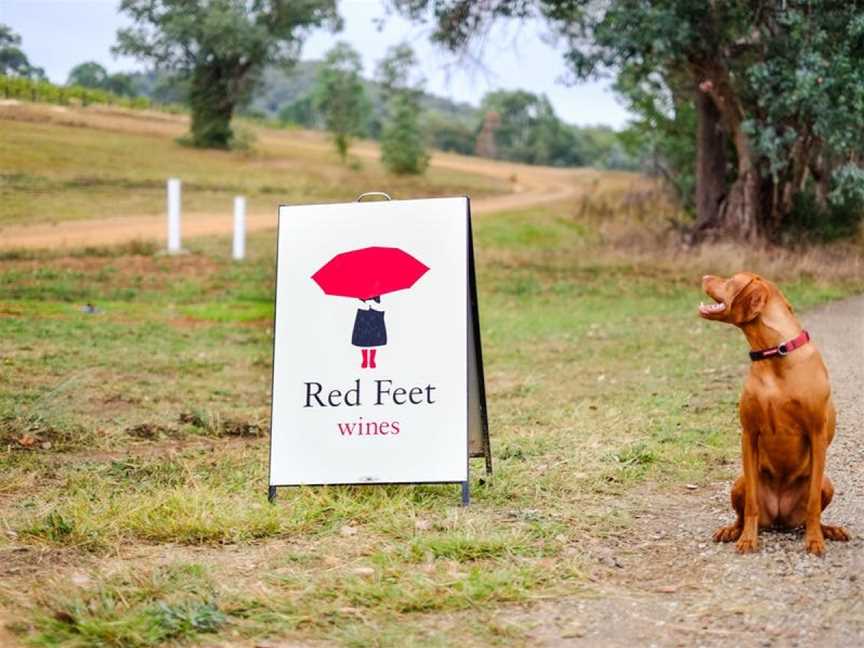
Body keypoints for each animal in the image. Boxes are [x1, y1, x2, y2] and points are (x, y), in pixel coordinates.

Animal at [700, 270, 848, 556]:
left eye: (731, 280)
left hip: (827, 483)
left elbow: (813, 505)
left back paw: (828, 530)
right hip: (740, 481)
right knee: (742, 513)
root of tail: (780, 518)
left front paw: (815, 541)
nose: (704, 275)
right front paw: (748, 539)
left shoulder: (817, 434)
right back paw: (732, 530)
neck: (775, 355)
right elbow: (751, 506)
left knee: (812, 511)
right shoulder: (749, 434)